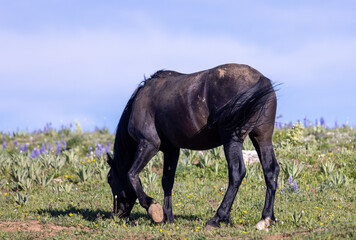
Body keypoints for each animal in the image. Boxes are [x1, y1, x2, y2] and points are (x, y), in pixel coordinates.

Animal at [107, 63, 280, 231]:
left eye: (109, 179)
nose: (117, 214)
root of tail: (262, 81)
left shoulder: (148, 143)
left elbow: (132, 174)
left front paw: (153, 208)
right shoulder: (171, 150)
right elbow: (167, 181)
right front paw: (168, 217)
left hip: (232, 139)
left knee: (237, 173)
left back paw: (217, 218)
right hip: (262, 138)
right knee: (271, 171)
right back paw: (265, 218)